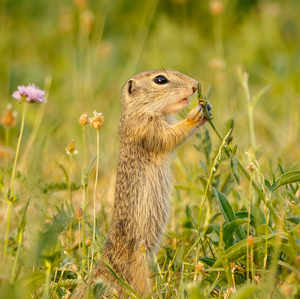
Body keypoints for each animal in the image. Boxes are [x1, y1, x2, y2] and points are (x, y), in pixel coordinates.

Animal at [74, 69, 207, 298]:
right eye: (160, 80)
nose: (194, 85)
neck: (138, 111)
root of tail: (105, 265)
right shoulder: (147, 129)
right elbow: (169, 137)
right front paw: (195, 115)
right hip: (137, 266)